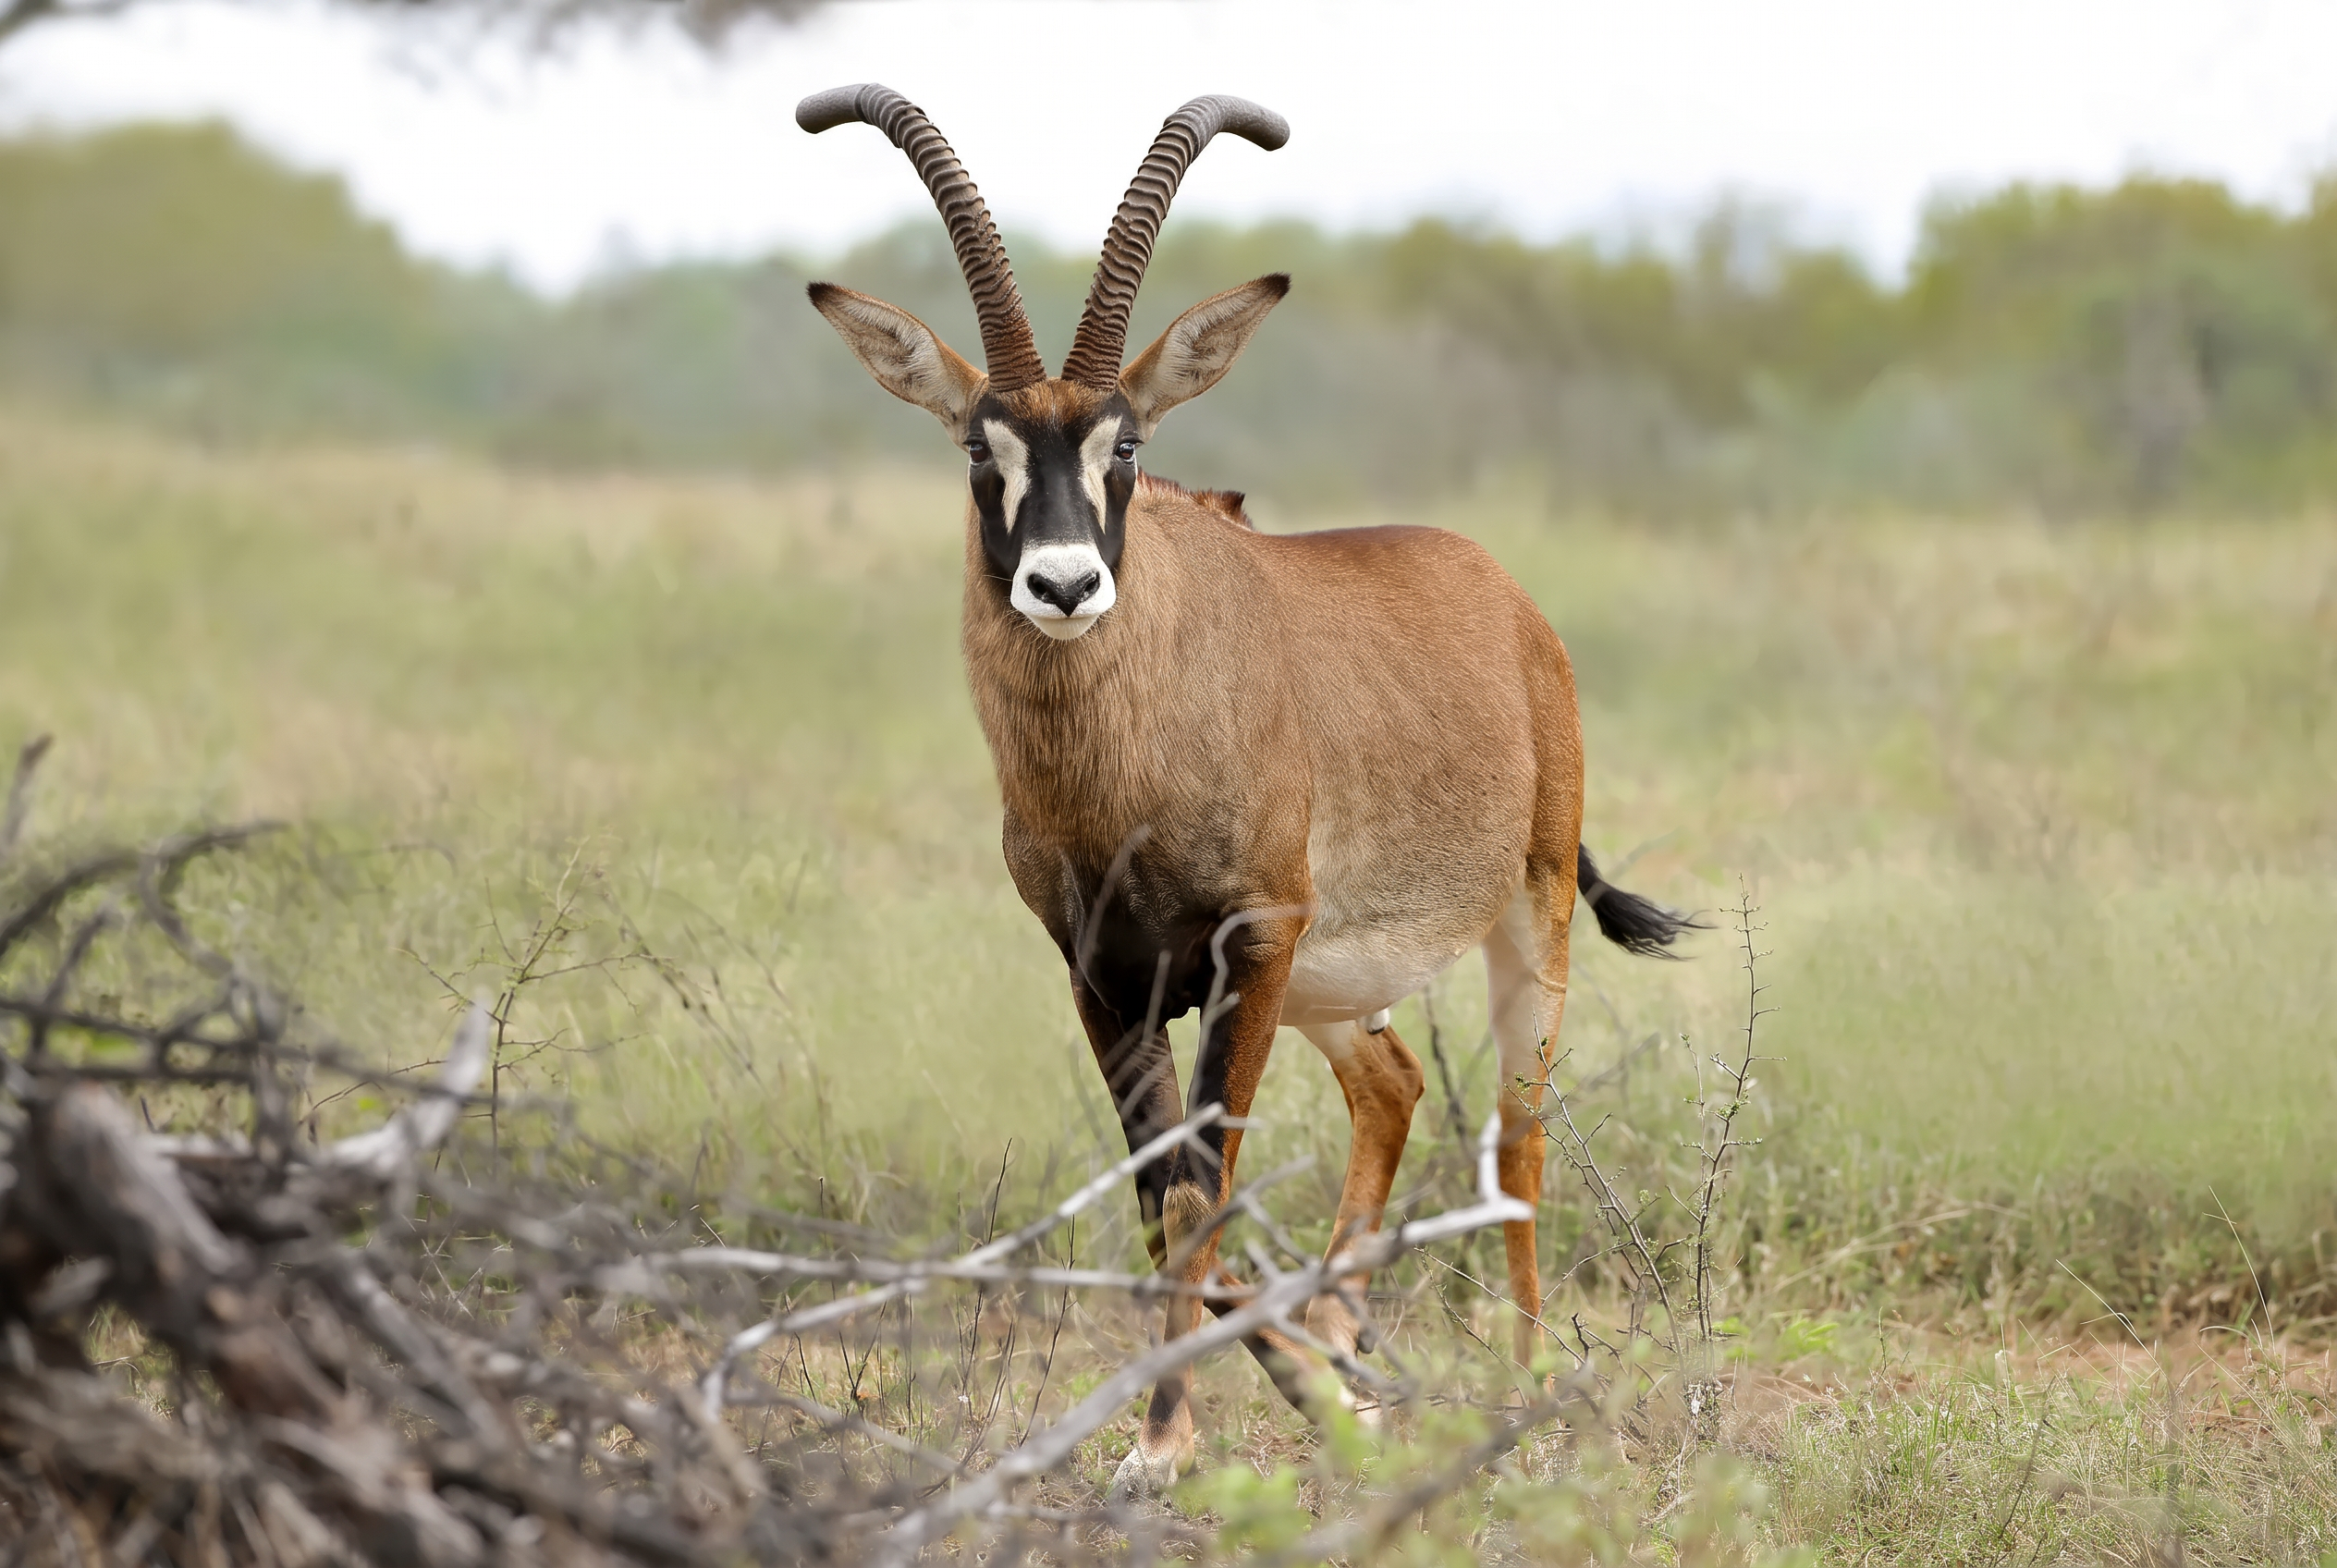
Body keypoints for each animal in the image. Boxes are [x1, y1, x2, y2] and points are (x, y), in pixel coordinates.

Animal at [798, 84, 1699, 1496]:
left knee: (1516, 1134)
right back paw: (1342, 1344)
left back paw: (1521, 1384)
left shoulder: (1247, 942)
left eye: (1125, 442)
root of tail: (1504, 595)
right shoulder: (1102, 974)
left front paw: (1167, 1441)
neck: (1119, 774)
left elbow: (1200, 1188)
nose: (1064, 585)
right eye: (978, 449)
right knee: (1392, 1083)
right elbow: (1159, 1192)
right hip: (1327, 982)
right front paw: (1300, 1399)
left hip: (1521, 915)